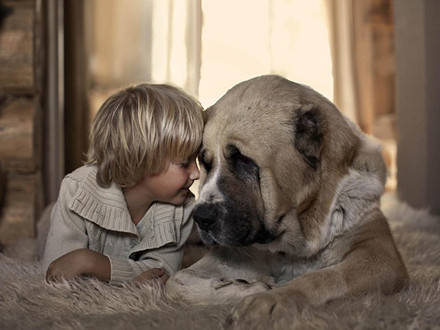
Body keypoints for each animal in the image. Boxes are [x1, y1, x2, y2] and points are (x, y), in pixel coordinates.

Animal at [166, 76, 410, 328]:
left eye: (244, 160)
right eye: (205, 163)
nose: (201, 217)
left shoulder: (379, 256)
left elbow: (324, 277)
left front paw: (270, 299)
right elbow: (174, 283)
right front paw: (250, 288)